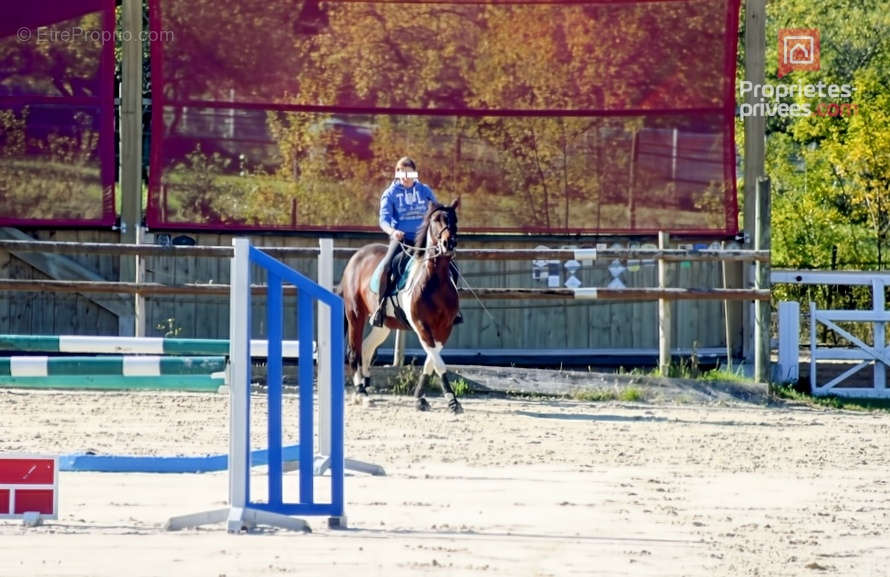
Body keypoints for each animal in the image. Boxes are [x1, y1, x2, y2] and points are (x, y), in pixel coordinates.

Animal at [336, 200, 462, 412]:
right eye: (436, 220)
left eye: (455, 220)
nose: (448, 243)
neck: (435, 281)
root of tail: (355, 258)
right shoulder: (421, 326)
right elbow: (437, 361)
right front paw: (453, 401)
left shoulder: (444, 328)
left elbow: (432, 360)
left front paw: (420, 397)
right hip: (355, 315)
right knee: (353, 352)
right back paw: (361, 393)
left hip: (383, 325)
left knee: (366, 348)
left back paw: (364, 387)